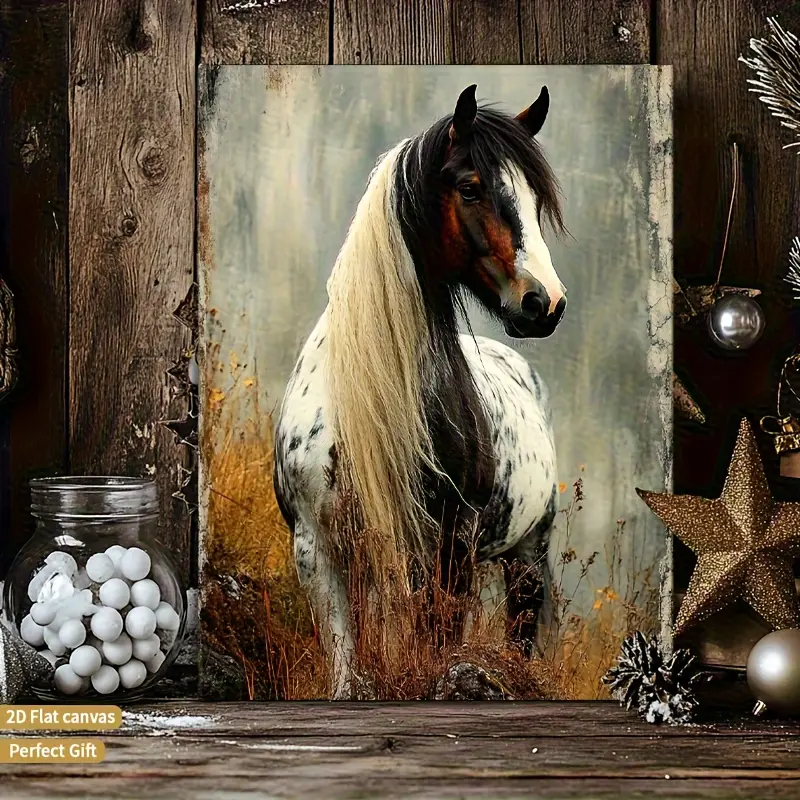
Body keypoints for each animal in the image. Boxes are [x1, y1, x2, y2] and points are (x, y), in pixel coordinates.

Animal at [273, 84, 567, 699]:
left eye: (534, 199)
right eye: (471, 187)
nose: (545, 302)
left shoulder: (451, 544)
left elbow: (435, 646)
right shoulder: (317, 548)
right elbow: (346, 663)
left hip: (526, 557)